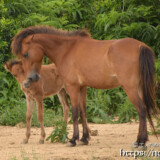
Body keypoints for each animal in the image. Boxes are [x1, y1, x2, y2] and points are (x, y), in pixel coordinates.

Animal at [10, 25, 158, 147]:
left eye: (25, 54)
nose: (30, 79)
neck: (67, 50)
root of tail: (140, 46)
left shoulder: (73, 87)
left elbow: (75, 112)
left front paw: (73, 139)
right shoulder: (82, 87)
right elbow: (83, 112)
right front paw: (84, 138)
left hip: (130, 88)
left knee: (141, 110)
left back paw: (140, 142)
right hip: (138, 88)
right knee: (144, 110)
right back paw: (141, 140)